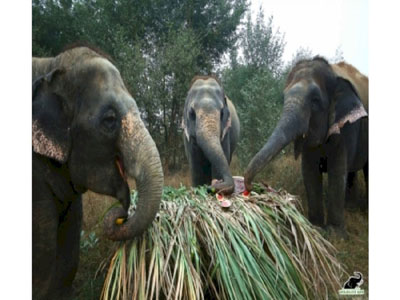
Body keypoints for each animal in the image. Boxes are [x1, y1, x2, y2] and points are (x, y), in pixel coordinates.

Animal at [242, 56, 368, 234]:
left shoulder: (346, 126)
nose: (250, 187)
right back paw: (351, 208)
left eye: (315, 101)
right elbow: (309, 171)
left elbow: (336, 171)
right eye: (283, 99)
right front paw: (315, 227)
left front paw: (334, 234)